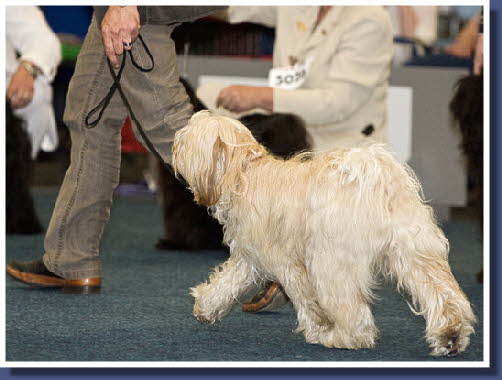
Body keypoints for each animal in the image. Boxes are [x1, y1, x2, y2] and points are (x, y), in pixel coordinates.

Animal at [173, 110, 474, 356]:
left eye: (187, 137)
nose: (174, 143)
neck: (244, 172)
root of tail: (376, 182)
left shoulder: (286, 263)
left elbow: (305, 299)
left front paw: (318, 328)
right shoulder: (251, 255)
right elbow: (228, 281)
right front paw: (206, 306)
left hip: (332, 262)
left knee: (353, 313)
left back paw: (342, 337)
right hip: (415, 251)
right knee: (442, 294)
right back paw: (450, 336)